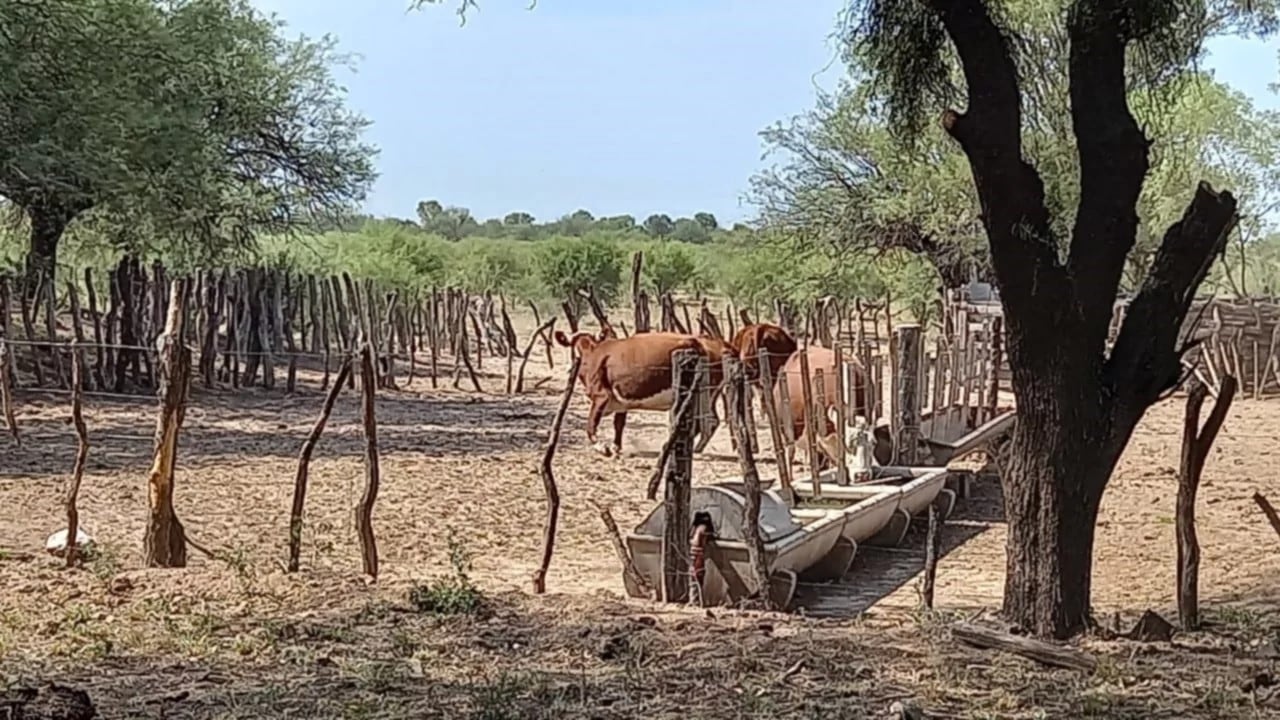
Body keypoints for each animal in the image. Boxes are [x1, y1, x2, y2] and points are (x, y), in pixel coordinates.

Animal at [555, 326, 737, 453]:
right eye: (574, 346)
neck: (592, 354)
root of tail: (718, 343)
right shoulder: (621, 402)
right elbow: (618, 424)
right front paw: (616, 447)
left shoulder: (601, 396)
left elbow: (591, 424)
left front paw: (602, 447)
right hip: (707, 395)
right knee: (711, 420)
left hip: (703, 392)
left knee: (706, 421)